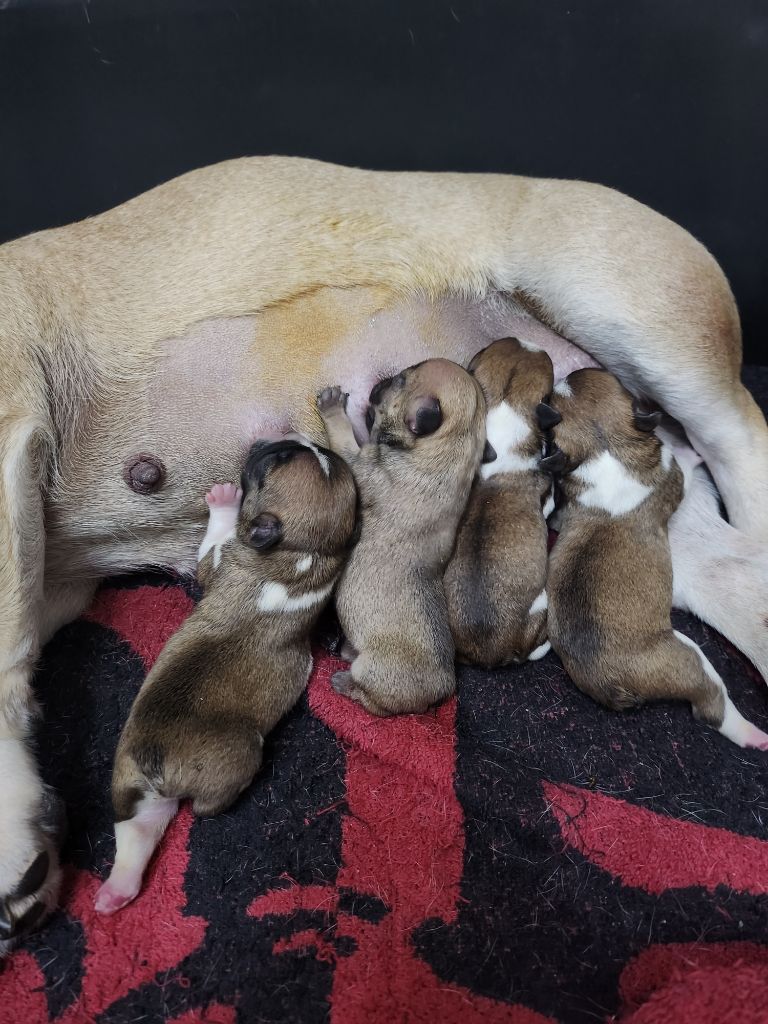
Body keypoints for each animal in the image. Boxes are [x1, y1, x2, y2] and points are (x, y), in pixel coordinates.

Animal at [94, 438, 360, 913]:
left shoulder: (220, 562)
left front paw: (223, 501)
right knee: (137, 832)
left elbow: (210, 550)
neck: (304, 550)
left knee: (198, 811)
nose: (263, 441)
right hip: (134, 782)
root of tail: (159, 763)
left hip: (232, 758)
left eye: (269, 463)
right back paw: (115, 893)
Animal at [313, 358, 483, 712]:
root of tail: (443, 689)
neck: (453, 446)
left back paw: (344, 681)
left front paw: (334, 409)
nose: (379, 382)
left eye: (400, 380)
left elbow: (344, 438)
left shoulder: (360, 462)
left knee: (372, 701)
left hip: (374, 673)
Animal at [544, 370, 768, 753]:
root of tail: (613, 684)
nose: (568, 371)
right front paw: (689, 452)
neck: (602, 443)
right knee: (712, 703)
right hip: (690, 659)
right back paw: (755, 736)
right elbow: (685, 469)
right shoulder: (671, 477)